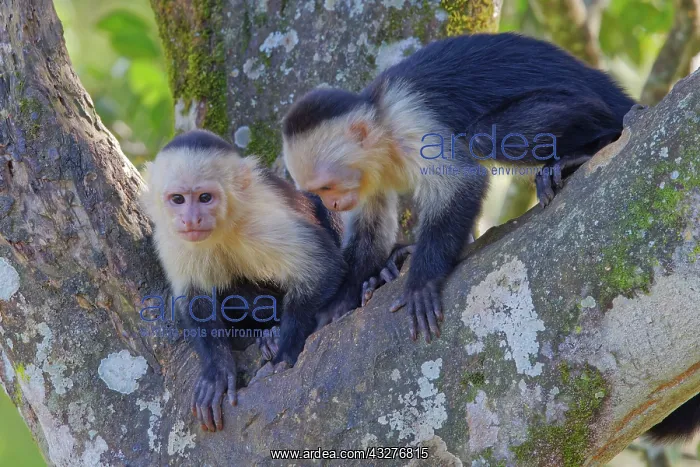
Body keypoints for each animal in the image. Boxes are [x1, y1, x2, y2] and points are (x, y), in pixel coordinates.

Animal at [140, 129, 347, 432]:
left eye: (205, 197)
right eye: (178, 199)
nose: (191, 220)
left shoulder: (260, 217)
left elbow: (324, 265)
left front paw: (286, 350)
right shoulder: (170, 236)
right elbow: (195, 299)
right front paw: (217, 370)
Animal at [282, 32, 636, 344]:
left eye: (327, 186)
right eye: (320, 191)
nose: (333, 205)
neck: (383, 129)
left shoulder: (410, 118)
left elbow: (461, 182)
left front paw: (421, 282)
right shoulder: (368, 177)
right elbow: (369, 233)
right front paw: (337, 305)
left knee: (483, 135)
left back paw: (591, 144)